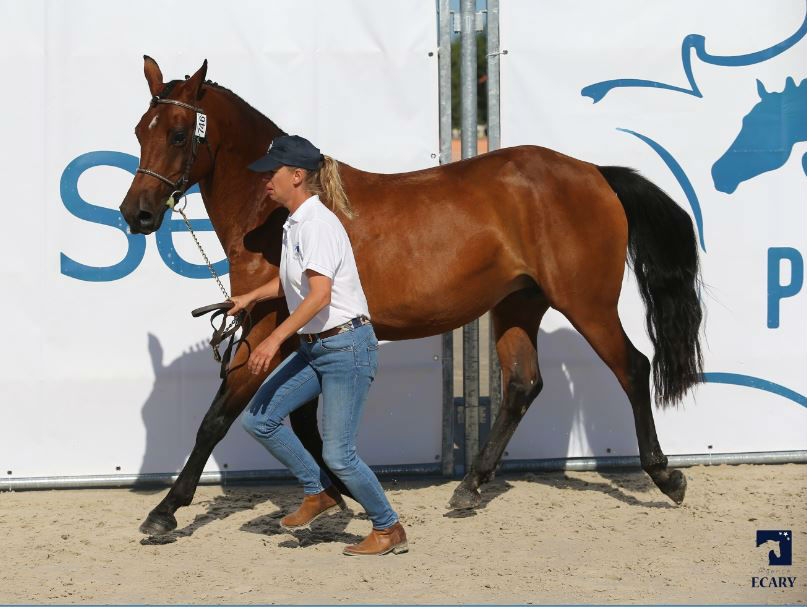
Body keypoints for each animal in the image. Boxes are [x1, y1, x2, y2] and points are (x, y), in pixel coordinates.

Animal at [118, 54, 700, 536]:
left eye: (177, 134)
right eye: (140, 131)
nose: (136, 213)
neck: (278, 216)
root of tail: (594, 173)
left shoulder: (265, 327)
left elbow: (218, 416)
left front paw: (166, 510)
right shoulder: (297, 335)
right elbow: (303, 420)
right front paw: (339, 493)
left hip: (587, 303)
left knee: (633, 367)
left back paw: (666, 476)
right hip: (517, 304)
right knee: (523, 385)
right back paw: (469, 487)